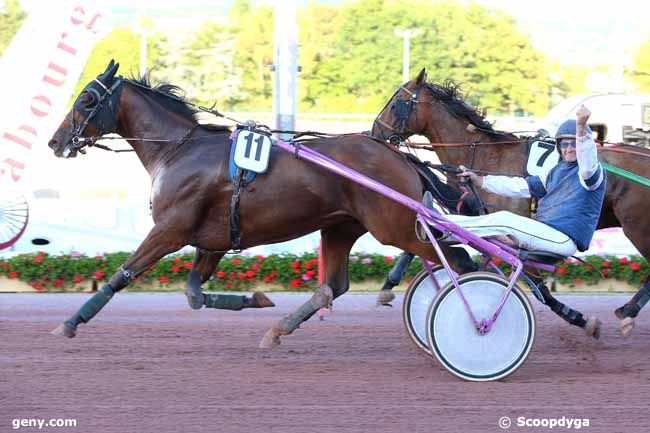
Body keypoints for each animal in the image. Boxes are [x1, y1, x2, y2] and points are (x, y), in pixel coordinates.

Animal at [45, 60, 470, 346]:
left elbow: (123, 274)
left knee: (460, 260)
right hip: (341, 226)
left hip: (394, 226)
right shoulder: (212, 240)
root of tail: (397, 154)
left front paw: (71, 322)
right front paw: (258, 299)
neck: (178, 151)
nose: (55, 141)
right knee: (334, 285)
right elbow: (194, 294)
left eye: (86, 99)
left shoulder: (170, 231)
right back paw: (279, 329)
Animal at [370, 69, 648, 336]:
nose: (374, 133)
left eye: (396, 103)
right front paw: (389, 283)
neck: (485, 153)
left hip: (637, 227)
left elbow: (537, 285)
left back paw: (628, 311)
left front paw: (575, 316)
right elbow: (423, 235)